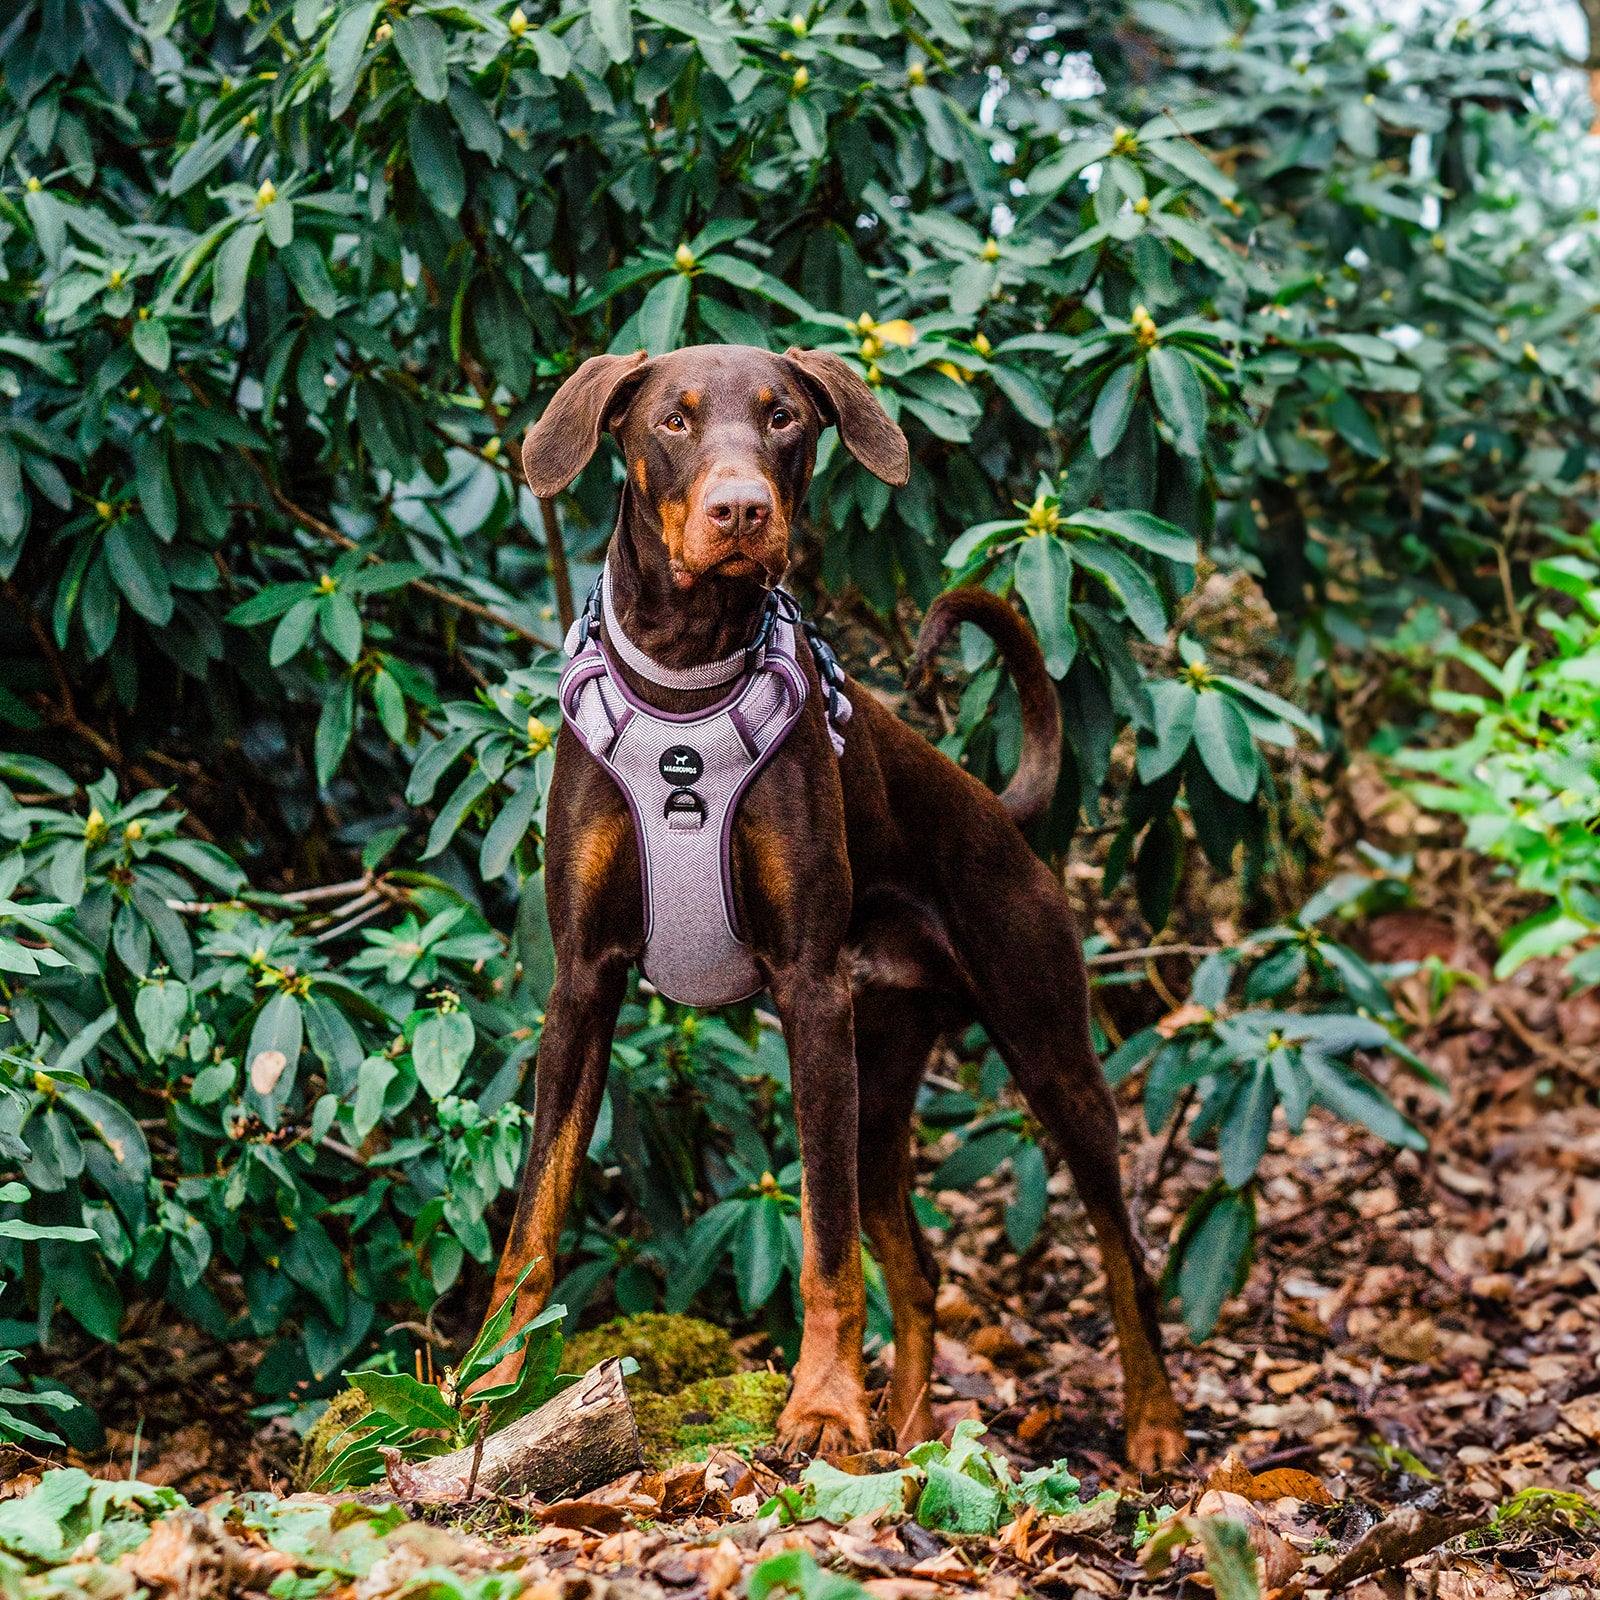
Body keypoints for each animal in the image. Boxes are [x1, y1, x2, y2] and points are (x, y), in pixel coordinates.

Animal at [467, 344, 1184, 1465]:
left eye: (785, 419)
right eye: (672, 421)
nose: (740, 510)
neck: (686, 684)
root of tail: (997, 807)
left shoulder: (808, 992)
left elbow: (825, 1244)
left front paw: (824, 1406)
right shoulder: (582, 985)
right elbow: (532, 1220)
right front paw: (491, 1386)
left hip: (1044, 1050)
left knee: (1121, 1253)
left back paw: (1149, 1421)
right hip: (878, 1078)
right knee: (919, 1269)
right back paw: (911, 1430)